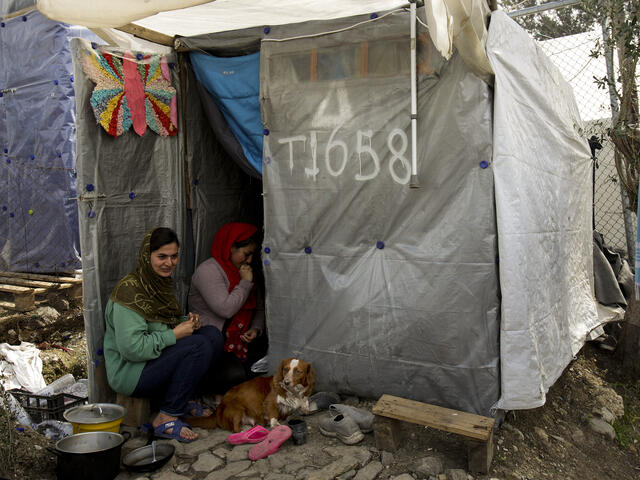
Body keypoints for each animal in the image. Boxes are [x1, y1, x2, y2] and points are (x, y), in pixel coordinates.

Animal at [188, 356, 316, 432]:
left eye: (298, 371)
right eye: (285, 369)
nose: (286, 382)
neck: (292, 392)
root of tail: (217, 409)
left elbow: (304, 401)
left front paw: (305, 407)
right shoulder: (269, 401)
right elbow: (273, 413)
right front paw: (275, 424)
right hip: (237, 408)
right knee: (235, 429)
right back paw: (244, 430)